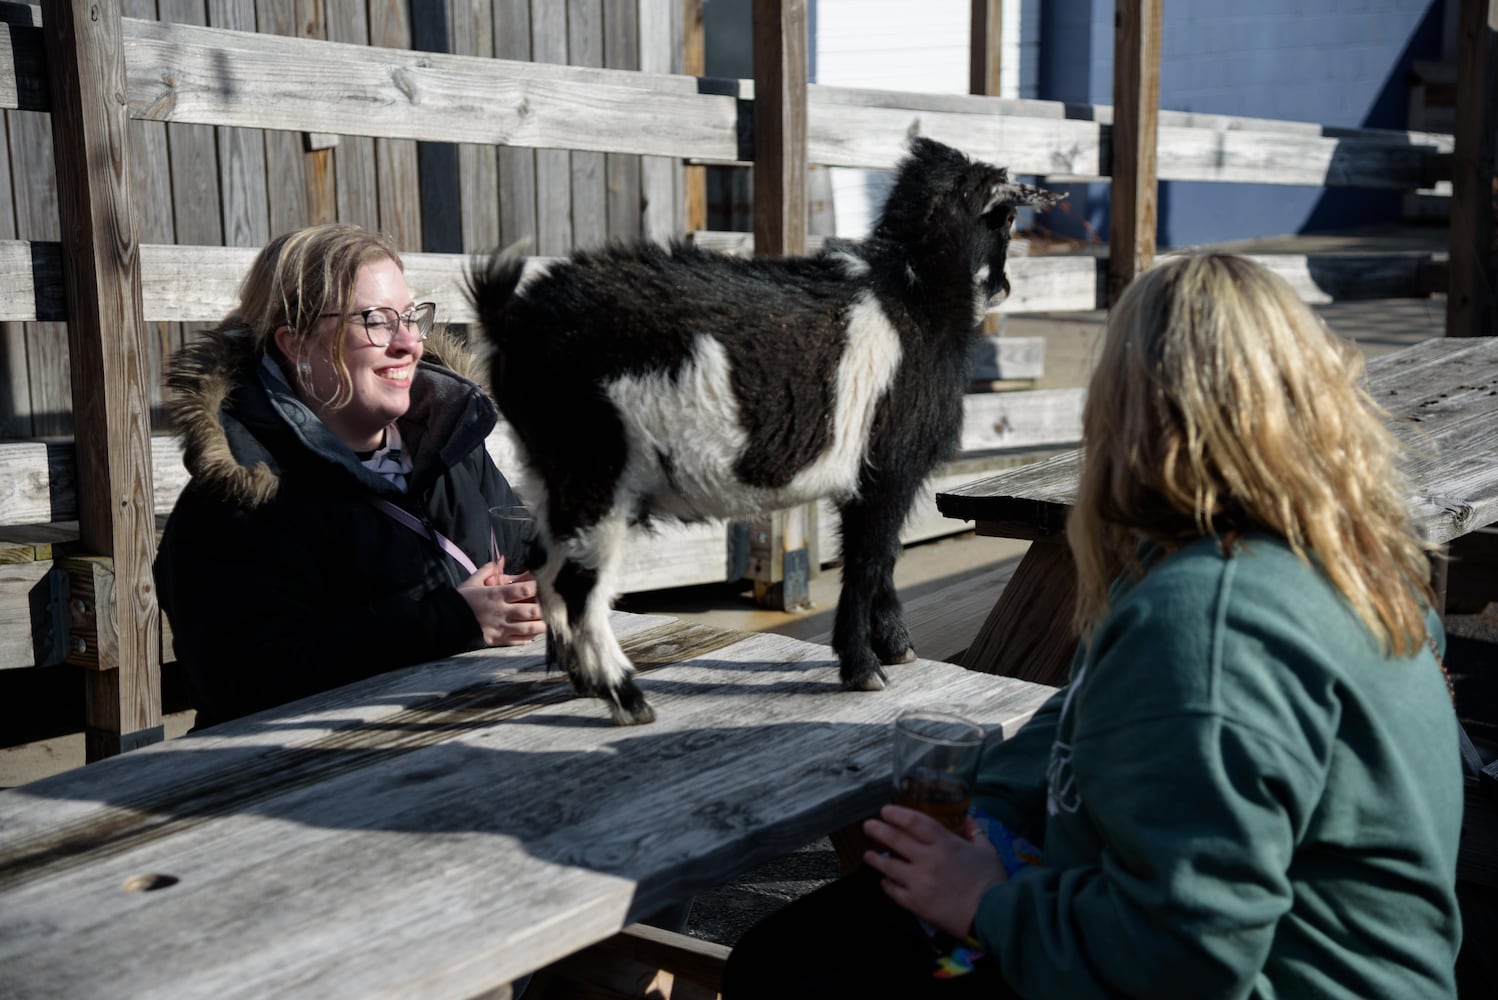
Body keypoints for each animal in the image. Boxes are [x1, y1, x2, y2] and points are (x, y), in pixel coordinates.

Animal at [467, 136, 1054, 721]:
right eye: (1006, 218)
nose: (1005, 286)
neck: (914, 294)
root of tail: (511, 321)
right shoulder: (889, 464)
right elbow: (868, 560)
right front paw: (864, 669)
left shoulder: (869, 474)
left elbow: (880, 556)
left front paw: (895, 647)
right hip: (594, 470)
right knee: (575, 584)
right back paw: (627, 698)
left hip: (548, 472)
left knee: (543, 567)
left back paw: (586, 684)